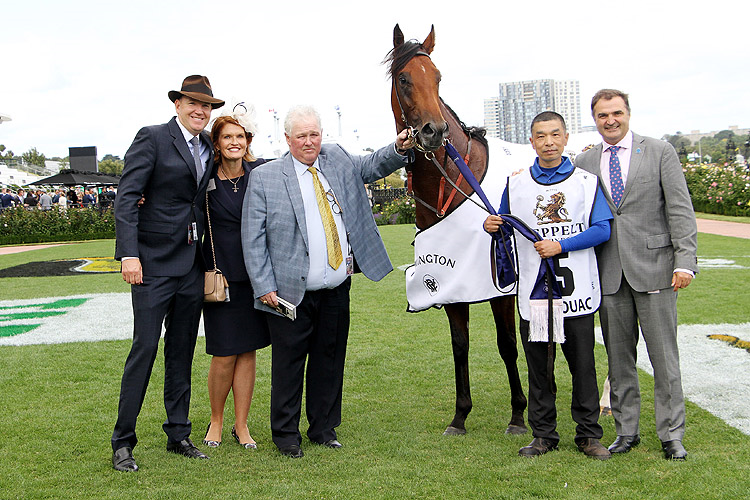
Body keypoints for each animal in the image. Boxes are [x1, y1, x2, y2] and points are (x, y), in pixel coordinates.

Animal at [388, 25, 528, 436]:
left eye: (437, 77)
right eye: (404, 79)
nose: (434, 131)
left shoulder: (500, 282)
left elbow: (506, 344)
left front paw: (518, 415)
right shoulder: (450, 282)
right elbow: (460, 344)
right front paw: (460, 415)